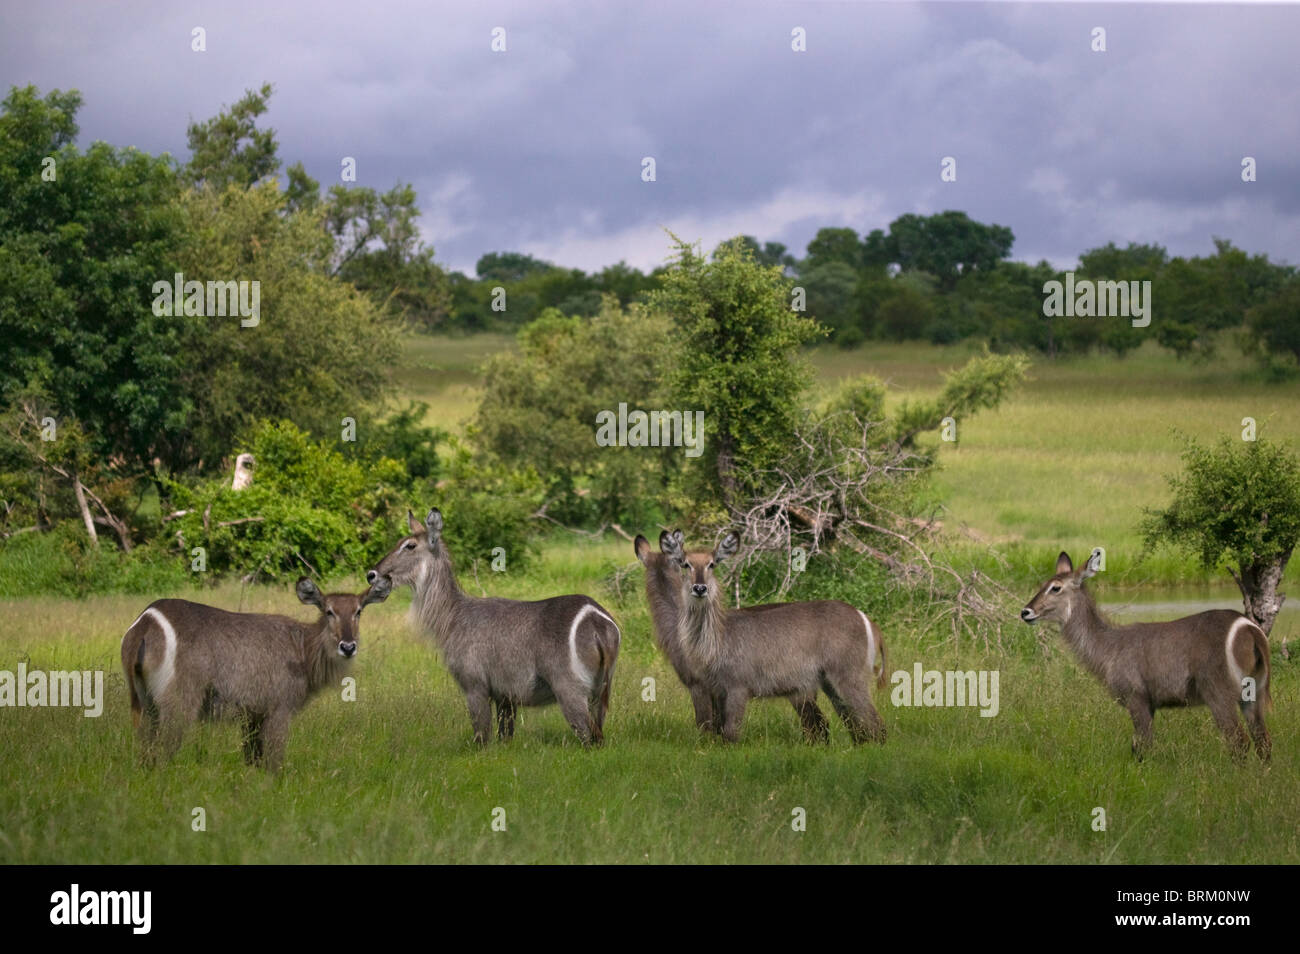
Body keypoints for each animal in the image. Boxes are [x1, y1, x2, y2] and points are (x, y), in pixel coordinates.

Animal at [122, 574, 390, 779]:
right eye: (329, 611)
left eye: (358, 611)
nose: (348, 646)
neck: (303, 649)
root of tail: (146, 622)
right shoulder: (279, 709)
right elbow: (274, 761)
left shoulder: (252, 715)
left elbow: (252, 759)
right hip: (179, 703)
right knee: (163, 751)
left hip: (143, 702)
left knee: (144, 750)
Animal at [366, 512, 618, 748]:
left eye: (409, 545)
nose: (372, 574)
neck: (454, 616)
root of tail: (596, 619)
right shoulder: (505, 696)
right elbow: (505, 736)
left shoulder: (474, 686)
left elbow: (481, 738)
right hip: (599, 694)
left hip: (570, 691)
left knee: (589, 737)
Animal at [665, 530, 889, 748]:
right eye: (685, 564)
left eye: (712, 564)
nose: (700, 588)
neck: (718, 637)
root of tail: (866, 619)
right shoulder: (718, 689)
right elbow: (719, 732)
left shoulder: (738, 687)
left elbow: (731, 734)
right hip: (830, 683)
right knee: (855, 723)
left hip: (849, 675)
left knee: (875, 722)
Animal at [1024, 553, 1268, 764]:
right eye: (1043, 584)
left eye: (1056, 587)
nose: (1025, 612)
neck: (1108, 647)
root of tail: (1249, 628)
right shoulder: (1151, 705)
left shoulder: (1137, 698)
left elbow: (1141, 747)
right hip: (1254, 693)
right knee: (1263, 742)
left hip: (1218, 694)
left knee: (1239, 742)